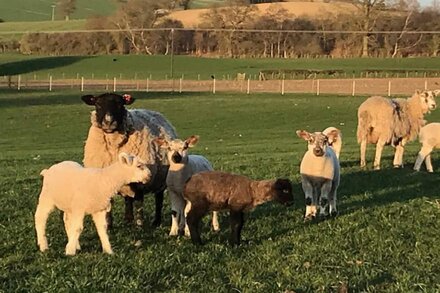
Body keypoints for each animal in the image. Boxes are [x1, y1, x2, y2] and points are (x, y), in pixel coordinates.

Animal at [81, 92, 177, 227]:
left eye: (120, 104)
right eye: (98, 104)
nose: (108, 122)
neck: (114, 147)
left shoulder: (140, 180)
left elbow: (138, 202)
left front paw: (139, 224)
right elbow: (109, 206)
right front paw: (108, 225)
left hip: (161, 178)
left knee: (158, 199)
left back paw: (155, 222)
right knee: (128, 199)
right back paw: (128, 219)